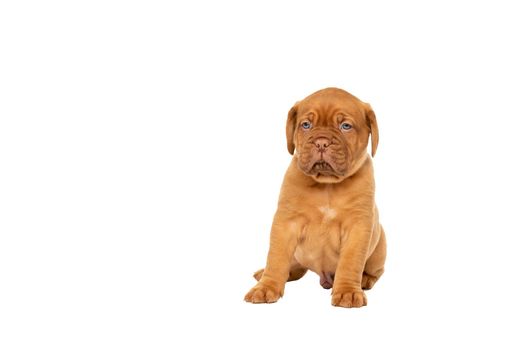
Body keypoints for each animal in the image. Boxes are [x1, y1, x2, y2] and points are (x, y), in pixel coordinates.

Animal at [245, 88, 384, 308]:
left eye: (346, 126)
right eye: (306, 125)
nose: (321, 142)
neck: (327, 185)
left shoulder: (358, 226)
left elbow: (351, 262)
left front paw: (348, 292)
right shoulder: (286, 223)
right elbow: (276, 258)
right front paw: (266, 287)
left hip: (380, 246)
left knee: (373, 270)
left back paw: (365, 279)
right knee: (294, 266)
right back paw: (266, 273)